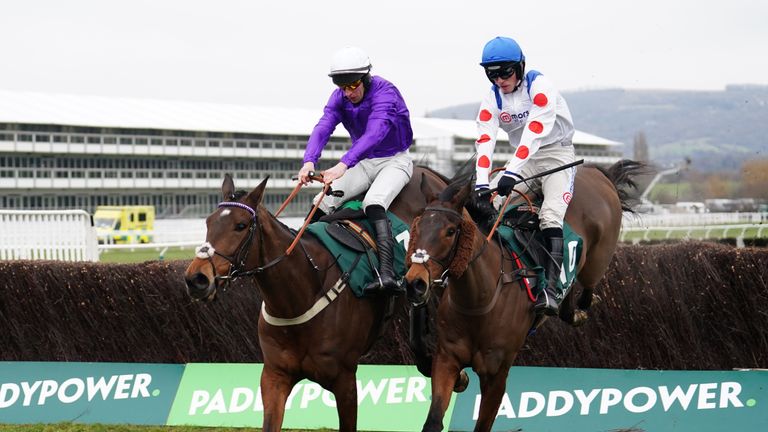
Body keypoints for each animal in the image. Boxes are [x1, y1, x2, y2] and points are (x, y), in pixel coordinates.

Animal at [184, 167, 448, 432]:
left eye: (241, 225)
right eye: (208, 222)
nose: (197, 278)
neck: (299, 297)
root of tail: (426, 170)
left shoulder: (345, 380)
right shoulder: (274, 375)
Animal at [404, 160, 644, 430]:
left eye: (450, 231)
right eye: (417, 226)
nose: (415, 282)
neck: (481, 299)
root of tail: (595, 172)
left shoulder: (496, 374)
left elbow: (483, 424)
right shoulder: (447, 359)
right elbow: (433, 420)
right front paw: (460, 381)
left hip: (597, 261)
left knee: (586, 289)